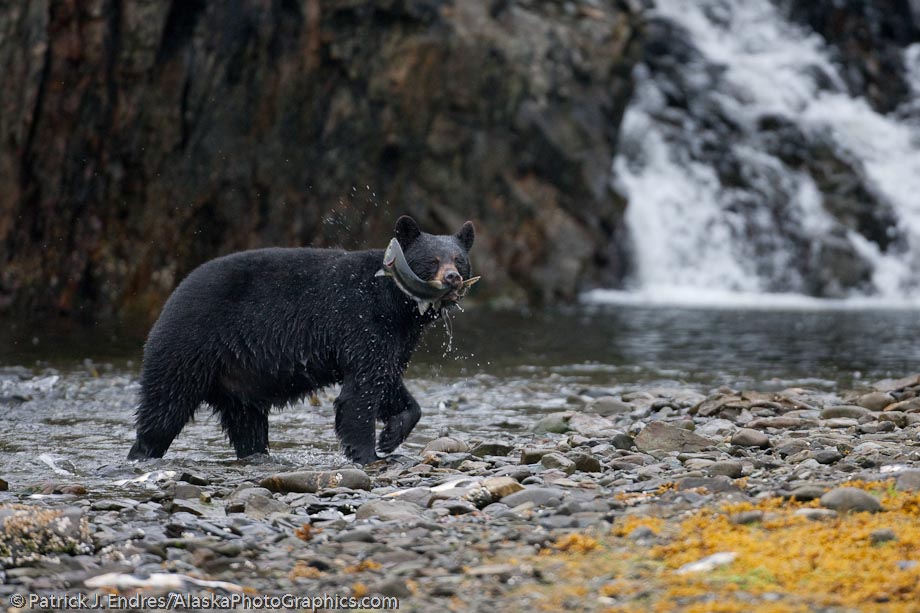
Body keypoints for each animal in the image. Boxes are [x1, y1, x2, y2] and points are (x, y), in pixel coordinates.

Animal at [127, 216, 474, 464]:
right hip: (188, 347)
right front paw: (368, 453)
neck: (395, 301)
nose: (453, 278)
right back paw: (142, 454)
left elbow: (387, 380)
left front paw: (391, 435)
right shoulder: (362, 321)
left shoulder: (396, 338)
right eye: (433, 260)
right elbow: (360, 392)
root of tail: (170, 300)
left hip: (237, 382)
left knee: (246, 424)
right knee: (164, 408)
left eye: (458, 260)